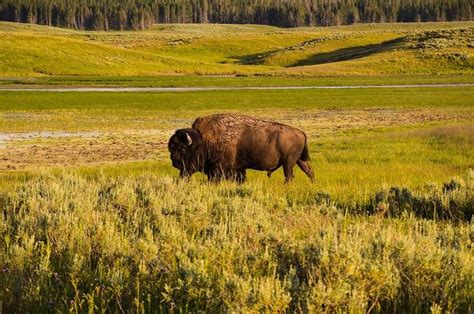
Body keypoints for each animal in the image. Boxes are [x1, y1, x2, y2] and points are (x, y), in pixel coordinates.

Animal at [168, 113, 314, 183]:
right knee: (309, 171)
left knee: (289, 176)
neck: (203, 141)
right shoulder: (238, 169)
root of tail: (301, 132)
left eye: (182, 149)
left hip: (288, 162)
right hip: (299, 160)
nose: (174, 162)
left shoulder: (219, 169)